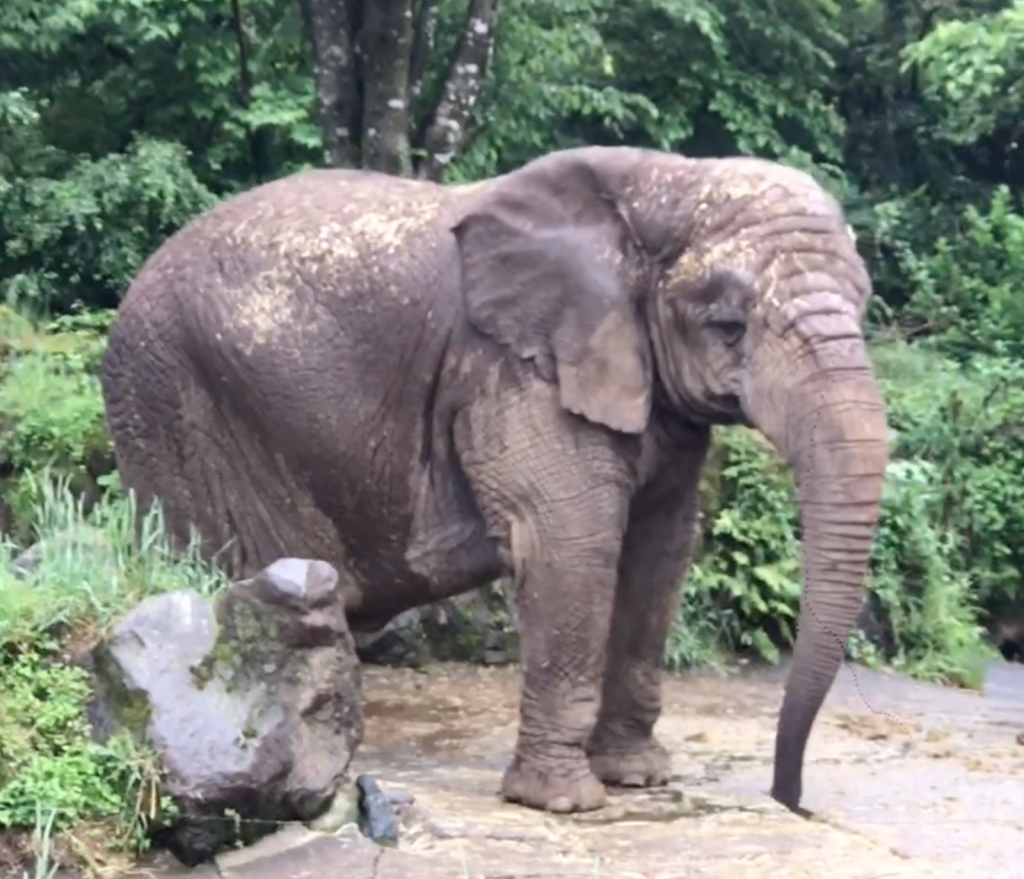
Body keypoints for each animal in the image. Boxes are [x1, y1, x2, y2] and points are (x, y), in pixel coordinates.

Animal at [99, 145, 892, 815]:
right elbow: (569, 540)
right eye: (728, 324)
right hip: (165, 399)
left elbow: (661, 548)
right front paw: (565, 803)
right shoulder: (510, 370)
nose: (790, 799)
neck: (665, 180)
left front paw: (637, 778)